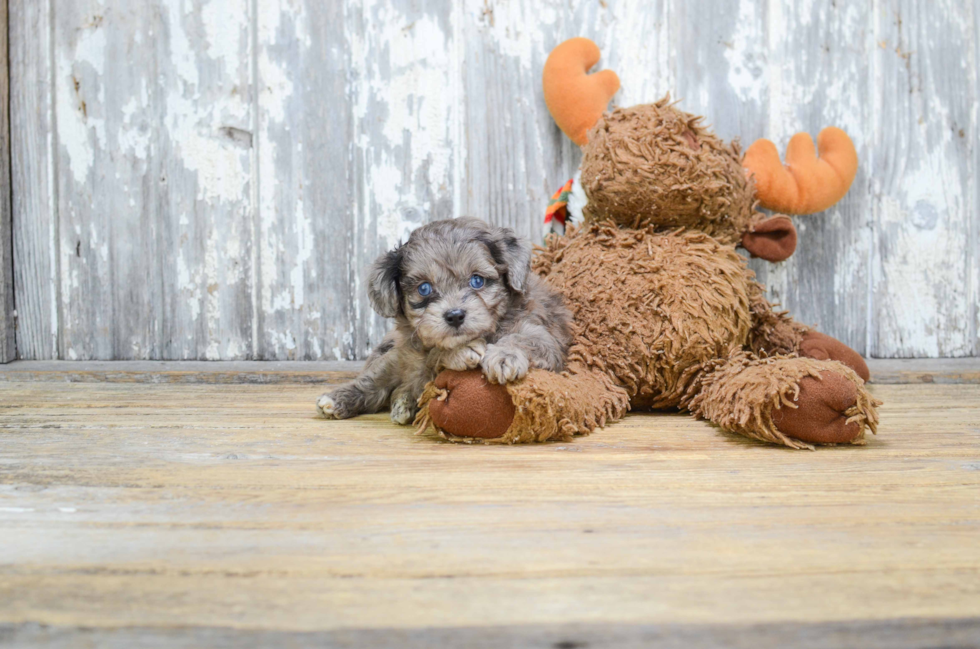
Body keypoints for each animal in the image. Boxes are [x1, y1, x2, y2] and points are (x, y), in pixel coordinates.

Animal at [318, 216, 572, 426]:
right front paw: (457, 352)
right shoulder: (409, 353)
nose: (455, 315)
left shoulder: (544, 338)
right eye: (424, 288)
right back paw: (339, 398)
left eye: (477, 280)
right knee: (374, 381)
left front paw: (504, 356)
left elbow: (524, 339)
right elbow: (429, 358)